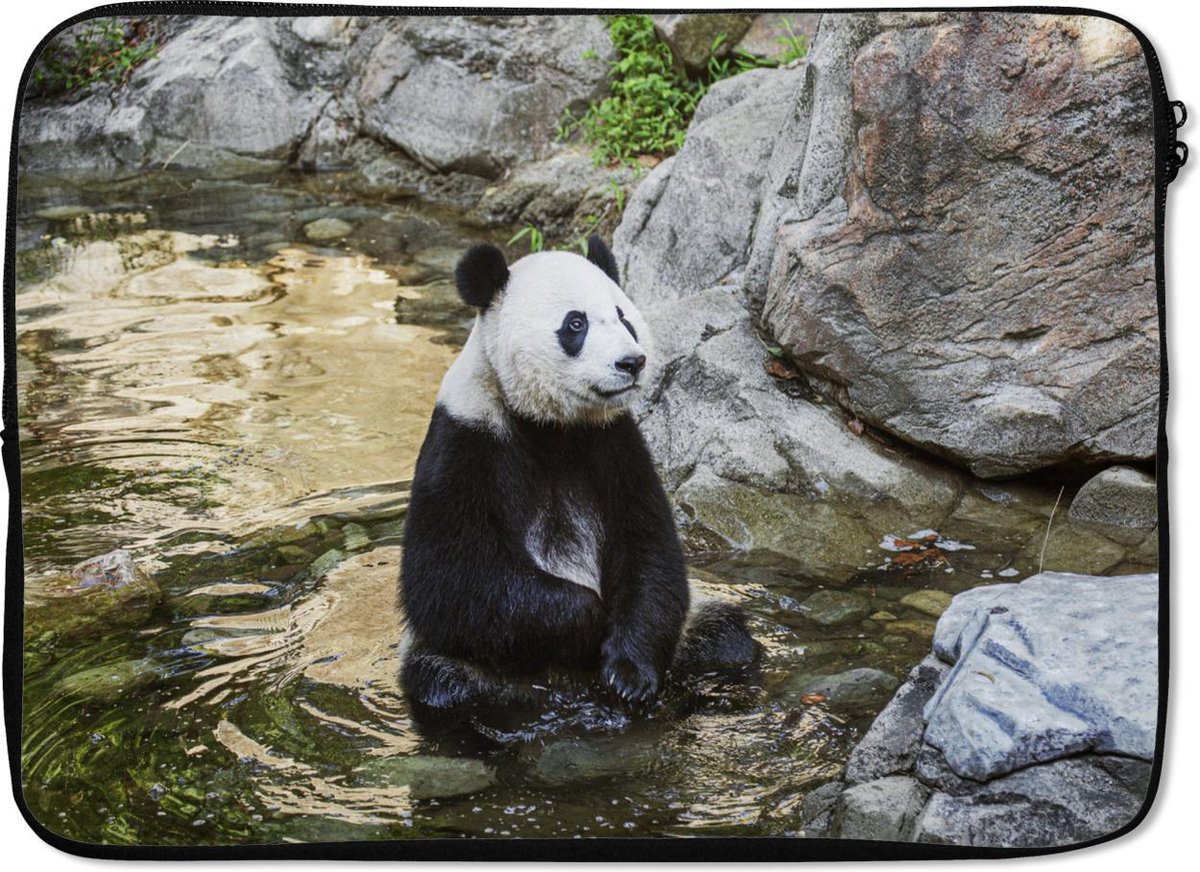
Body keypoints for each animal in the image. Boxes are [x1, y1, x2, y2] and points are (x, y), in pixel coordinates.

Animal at [399, 236, 757, 715]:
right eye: (575, 324)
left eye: (624, 317)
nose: (632, 362)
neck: (550, 424)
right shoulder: (464, 441)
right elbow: (450, 578)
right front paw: (588, 622)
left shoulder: (614, 444)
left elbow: (649, 550)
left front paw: (629, 675)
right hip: (459, 661)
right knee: (442, 683)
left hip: (694, 628)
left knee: (726, 638)